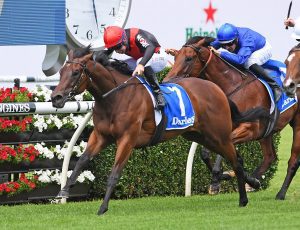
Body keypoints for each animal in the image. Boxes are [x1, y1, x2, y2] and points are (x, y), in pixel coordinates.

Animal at [50, 46, 258, 214]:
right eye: (61, 71)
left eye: (76, 72)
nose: (56, 98)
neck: (114, 98)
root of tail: (218, 89)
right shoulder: (100, 136)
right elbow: (81, 161)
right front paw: (63, 192)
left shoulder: (127, 139)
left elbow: (114, 173)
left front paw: (102, 207)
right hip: (200, 135)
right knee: (235, 158)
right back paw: (247, 182)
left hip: (219, 135)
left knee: (235, 161)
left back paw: (243, 198)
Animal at [164, 36, 300, 199]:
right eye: (175, 57)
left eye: (189, 58)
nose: (166, 81)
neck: (233, 86)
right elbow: (206, 153)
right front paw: (231, 175)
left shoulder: (249, 128)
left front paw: (216, 180)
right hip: (266, 131)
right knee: (270, 156)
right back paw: (253, 182)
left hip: (297, 124)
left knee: (293, 161)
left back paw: (280, 193)